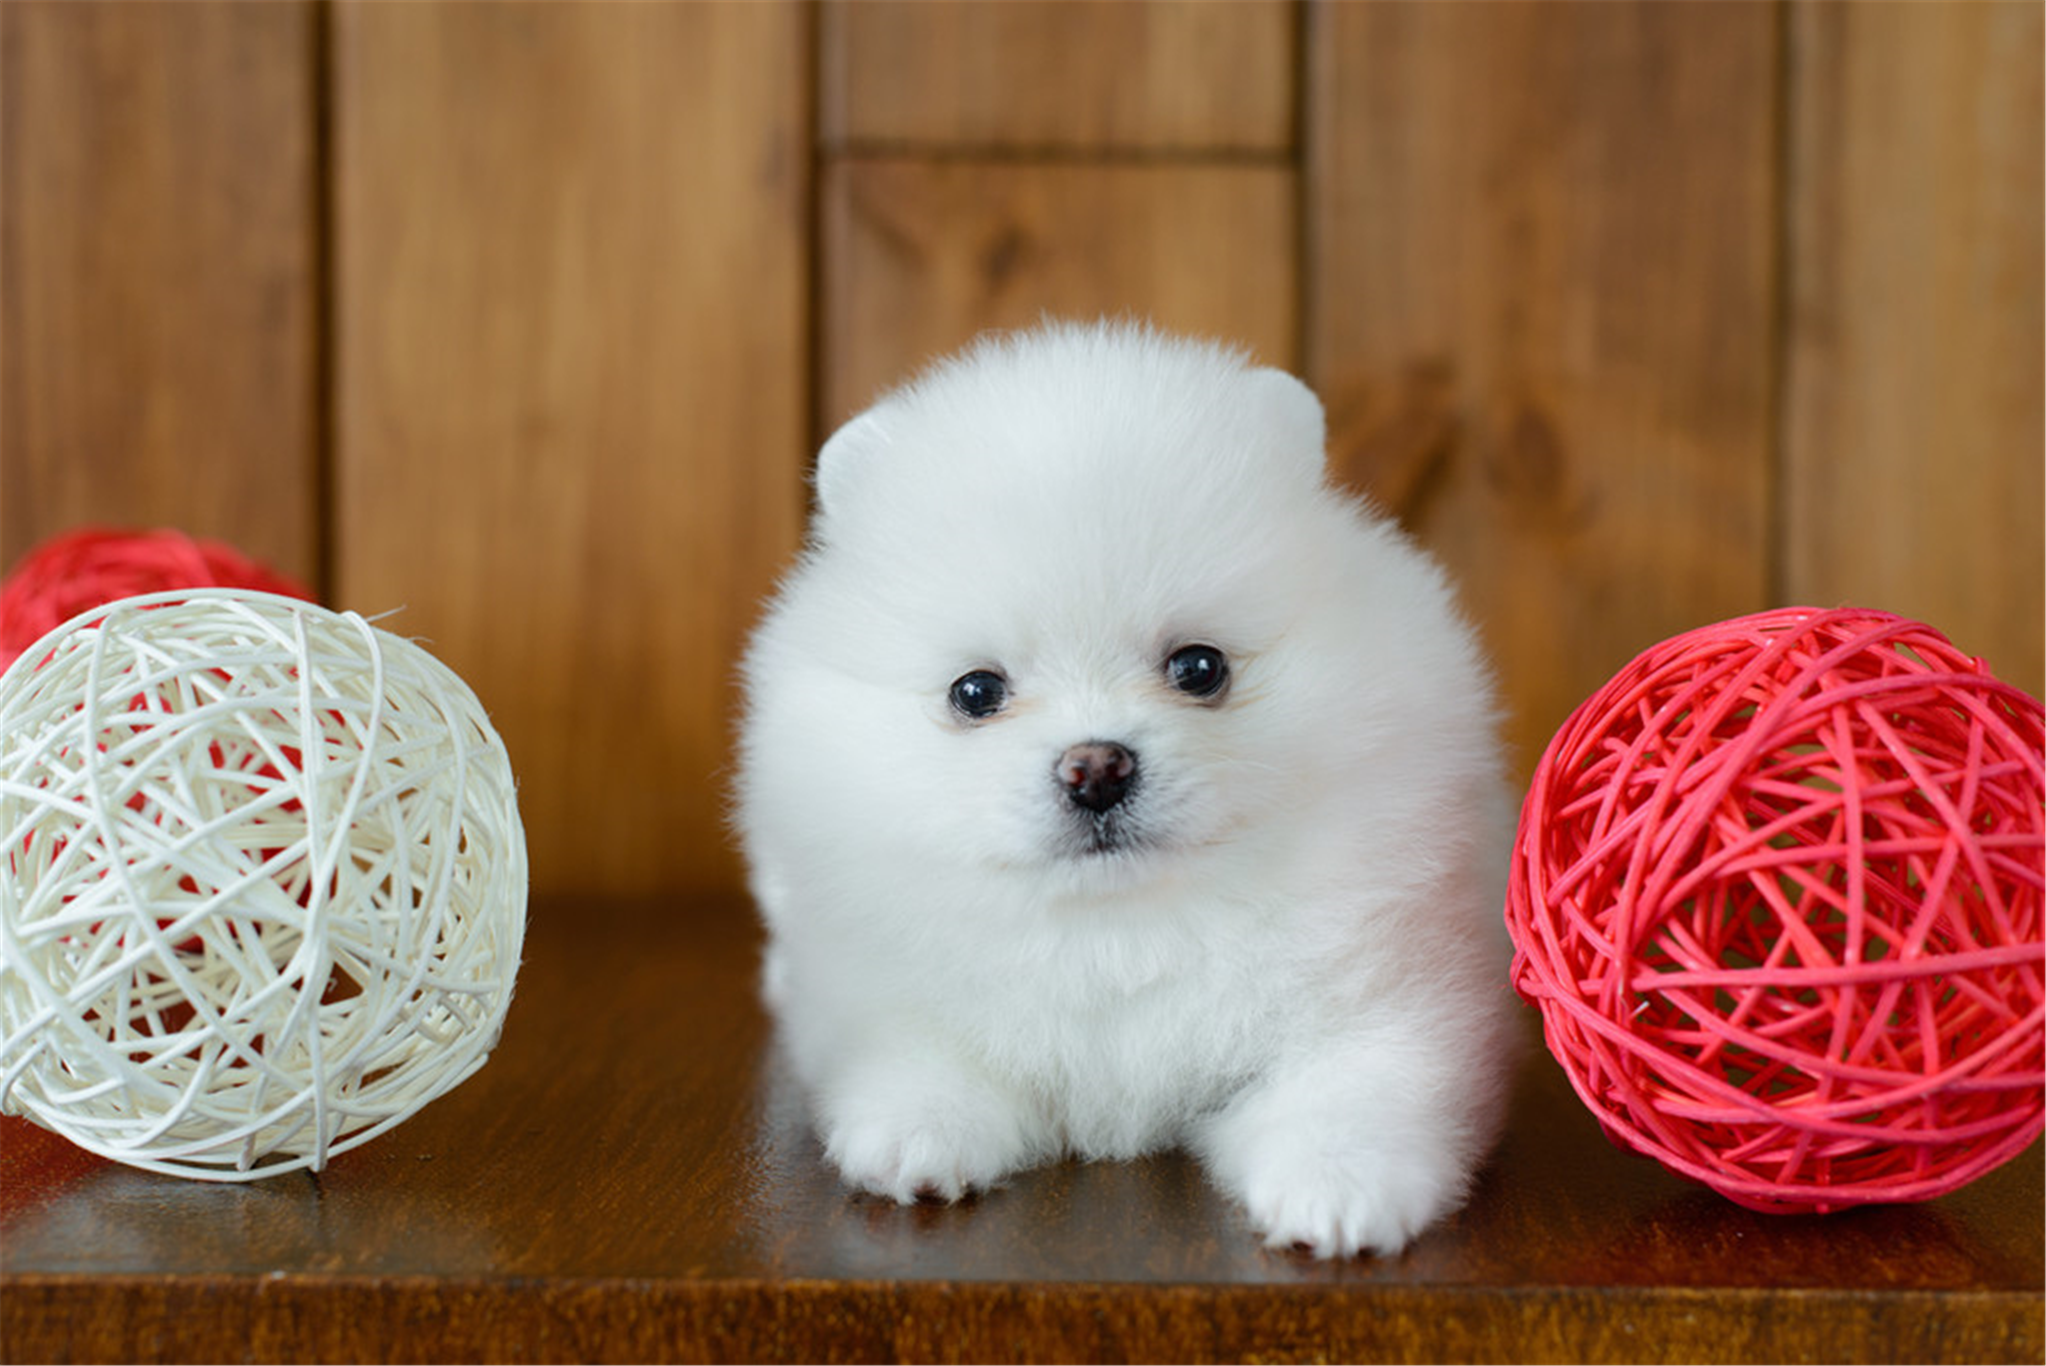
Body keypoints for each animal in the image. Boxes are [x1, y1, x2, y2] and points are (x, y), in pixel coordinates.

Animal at [736, 321, 1522, 1259]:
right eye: (976, 691)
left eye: (1199, 668)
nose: (1096, 768)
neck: (1123, 933)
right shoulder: (880, 989)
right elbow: (919, 1053)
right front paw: (916, 1139)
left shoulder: (1398, 989)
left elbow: (1361, 1085)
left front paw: (1337, 1190)